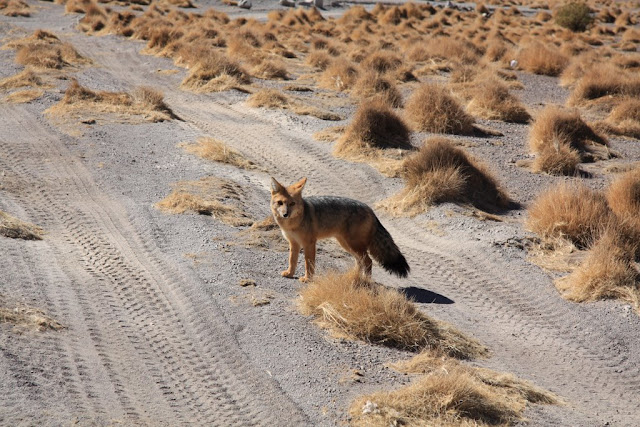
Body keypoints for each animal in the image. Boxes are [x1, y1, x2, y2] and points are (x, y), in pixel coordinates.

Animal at [270, 178, 410, 282]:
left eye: (292, 204)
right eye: (280, 203)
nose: (285, 214)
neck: (292, 224)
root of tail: (369, 209)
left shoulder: (309, 243)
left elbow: (308, 263)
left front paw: (307, 278)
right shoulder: (294, 243)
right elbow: (292, 260)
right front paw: (289, 273)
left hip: (353, 245)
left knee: (368, 261)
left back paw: (365, 280)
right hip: (347, 245)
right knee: (360, 261)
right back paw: (354, 276)